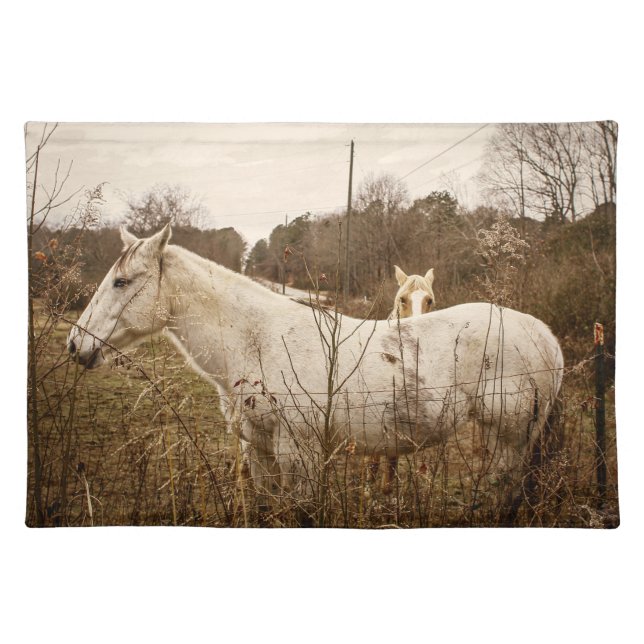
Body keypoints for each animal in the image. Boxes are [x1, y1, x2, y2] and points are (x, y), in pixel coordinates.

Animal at [68, 226, 564, 524]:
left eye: (122, 282)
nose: (75, 345)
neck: (256, 338)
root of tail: (543, 334)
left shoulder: (298, 453)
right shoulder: (259, 450)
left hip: (508, 441)